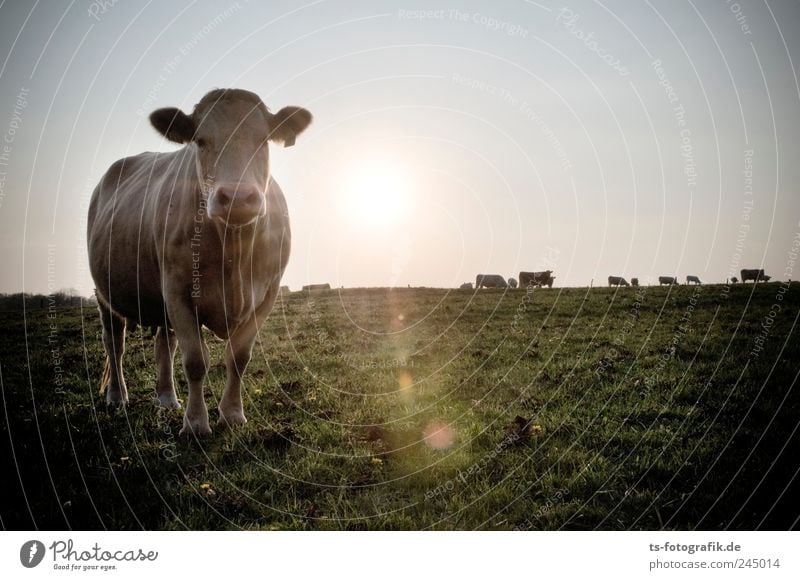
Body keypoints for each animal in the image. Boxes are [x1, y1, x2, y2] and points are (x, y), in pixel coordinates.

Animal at [88, 88, 312, 436]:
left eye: (263, 140)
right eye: (201, 141)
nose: (237, 197)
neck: (233, 247)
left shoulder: (268, 295)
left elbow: (238, 357)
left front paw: (232, 414)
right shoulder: (178, 290)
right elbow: (195, 360)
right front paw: (195, 423)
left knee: (164, 343)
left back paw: (167, 398)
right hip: (105, 294)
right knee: (114, 342)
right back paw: (116, 396)